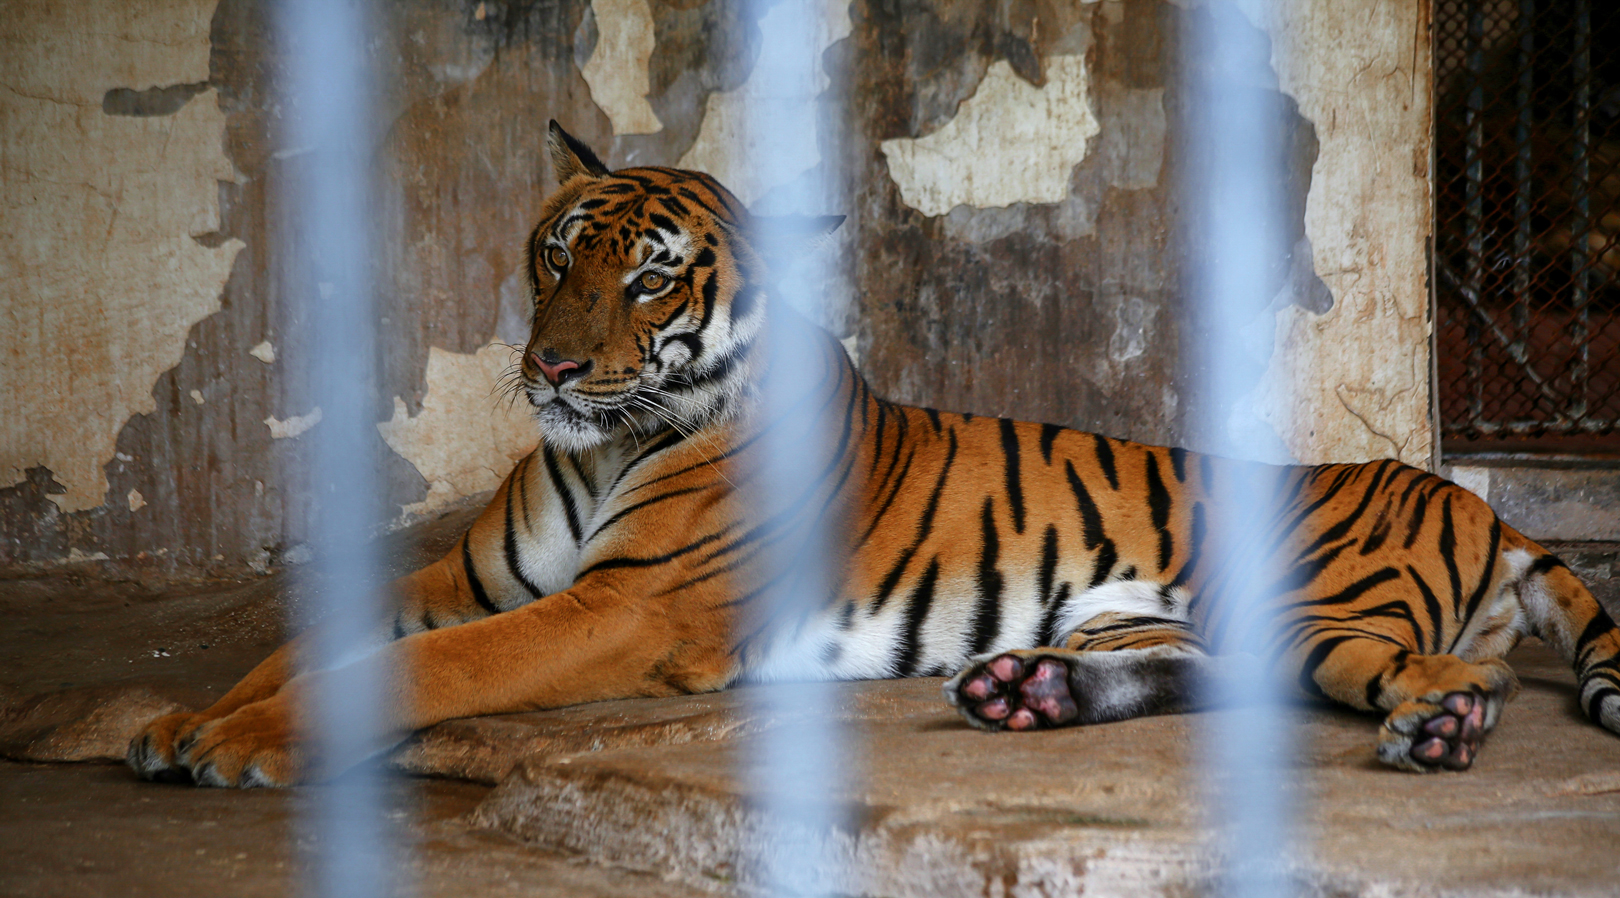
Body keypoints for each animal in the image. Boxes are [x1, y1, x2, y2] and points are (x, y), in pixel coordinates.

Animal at [127, 122, 1620, 788]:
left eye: (650, 280)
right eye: (555, 257)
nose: (549, 366)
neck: (595, 450)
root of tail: (1482, 505)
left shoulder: (623, 610)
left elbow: (424, 670)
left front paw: (238, 743)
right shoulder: (458, 582)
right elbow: (310, 641)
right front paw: (180, 719)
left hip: (1314, 596)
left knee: (1426, 674)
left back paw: (1443, 723)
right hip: (1174, 612)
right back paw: (1026, 690)